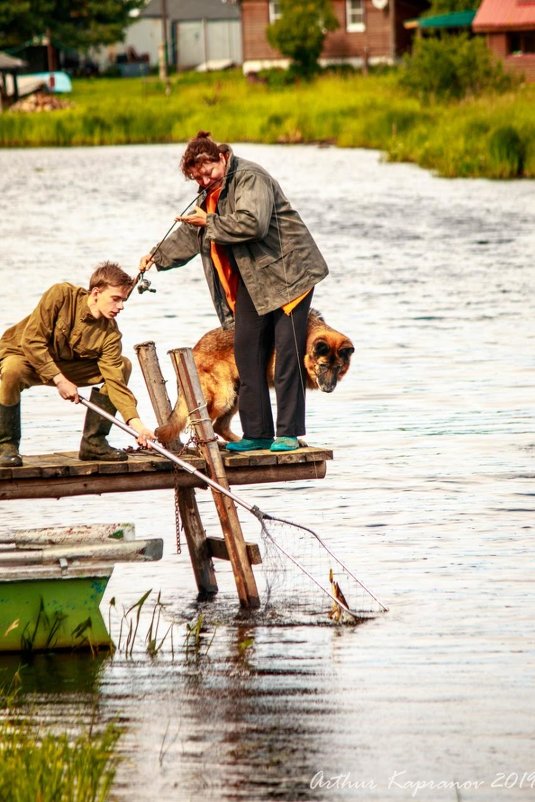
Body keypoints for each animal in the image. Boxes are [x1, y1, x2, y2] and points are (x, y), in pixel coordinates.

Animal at [157, 308, 354, 444]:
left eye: (338, 368)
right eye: (323, 366)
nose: (328, 389)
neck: (305, 342)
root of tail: (194, 349)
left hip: (236, 395)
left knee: (218, 426)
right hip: (224, 397)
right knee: (198, 423)